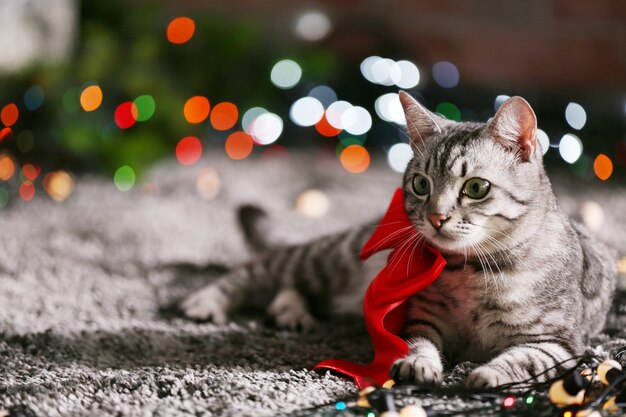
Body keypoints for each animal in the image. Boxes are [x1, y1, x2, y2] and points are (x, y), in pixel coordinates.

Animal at [180, 93, 616, 386]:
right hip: (334, 257)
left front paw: (487, 374)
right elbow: (416, 344)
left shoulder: (557, 343)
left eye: (476, 188)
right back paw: (208, 302)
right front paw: (419, 364)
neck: (470, 272)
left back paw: (291, 312)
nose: (437, 216)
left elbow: (523, 359)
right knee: (265, 268)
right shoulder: (418, 319)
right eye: (421, 184)